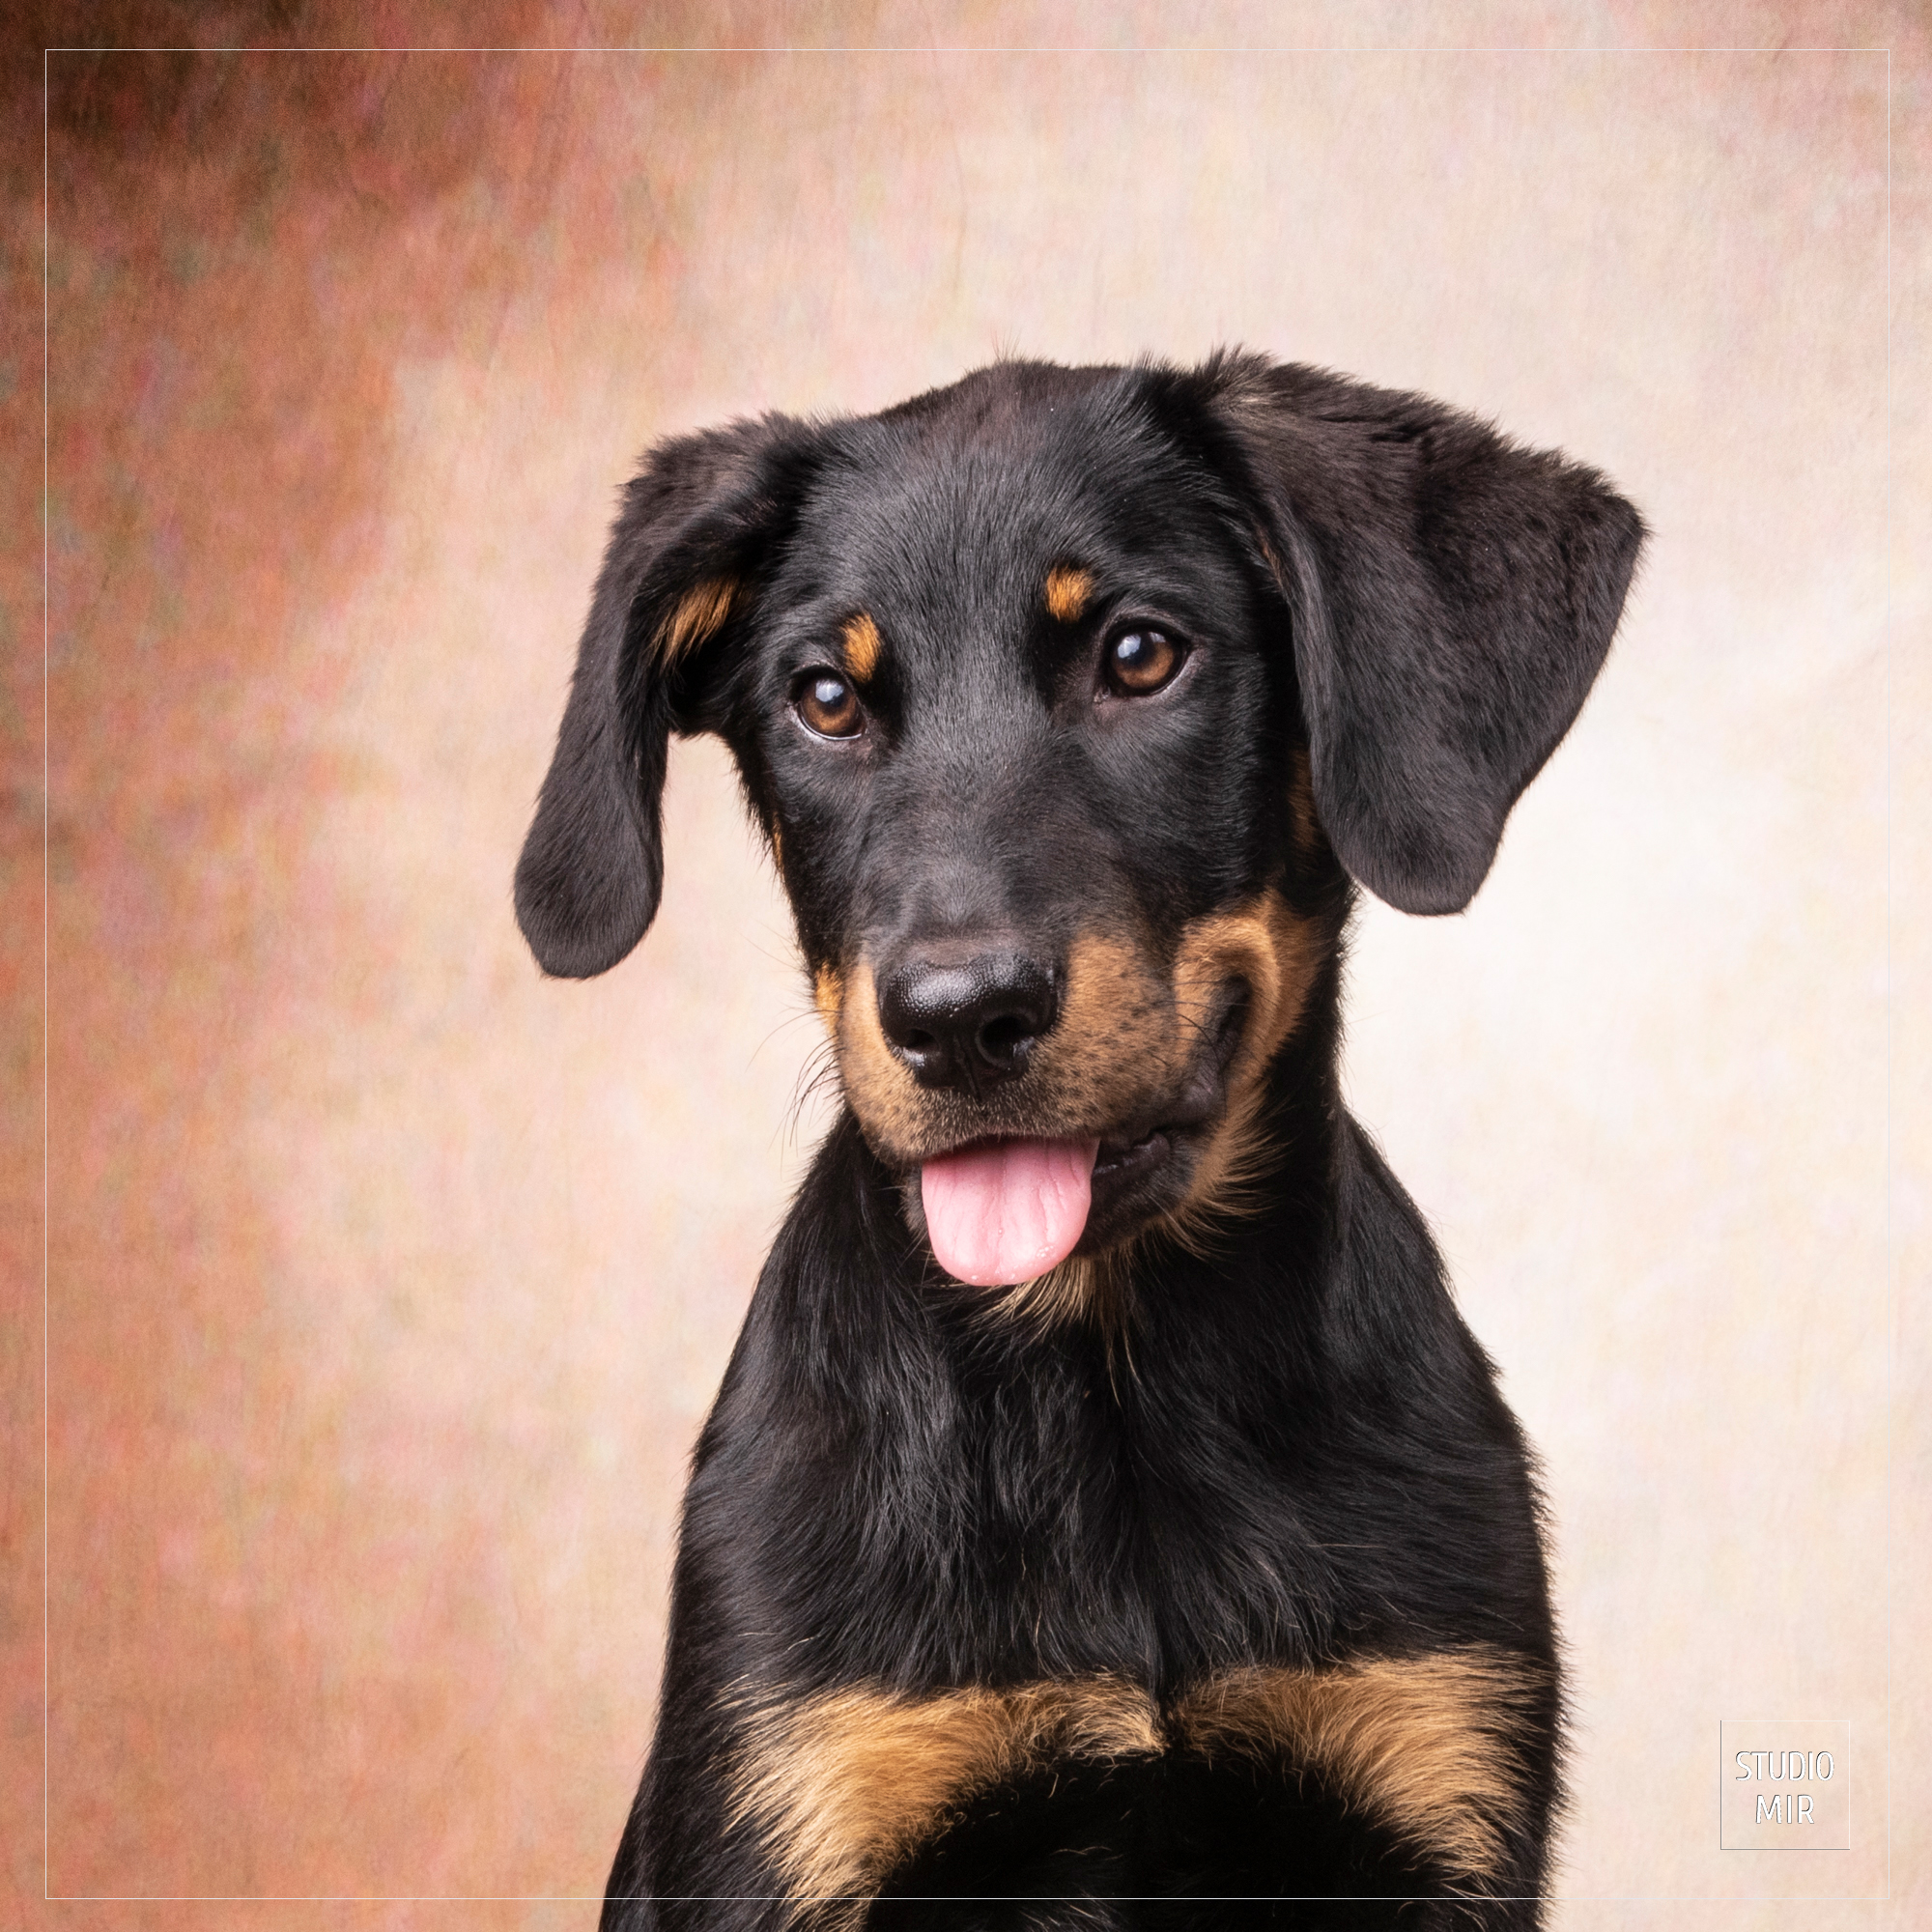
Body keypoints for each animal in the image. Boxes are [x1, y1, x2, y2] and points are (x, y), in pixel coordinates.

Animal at [514, 352, 1646, 1932]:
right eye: (823, 698)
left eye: (1139, 655)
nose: (957, 1016)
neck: (1104, 1381)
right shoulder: (797, 1800)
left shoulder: (1433, 1764)